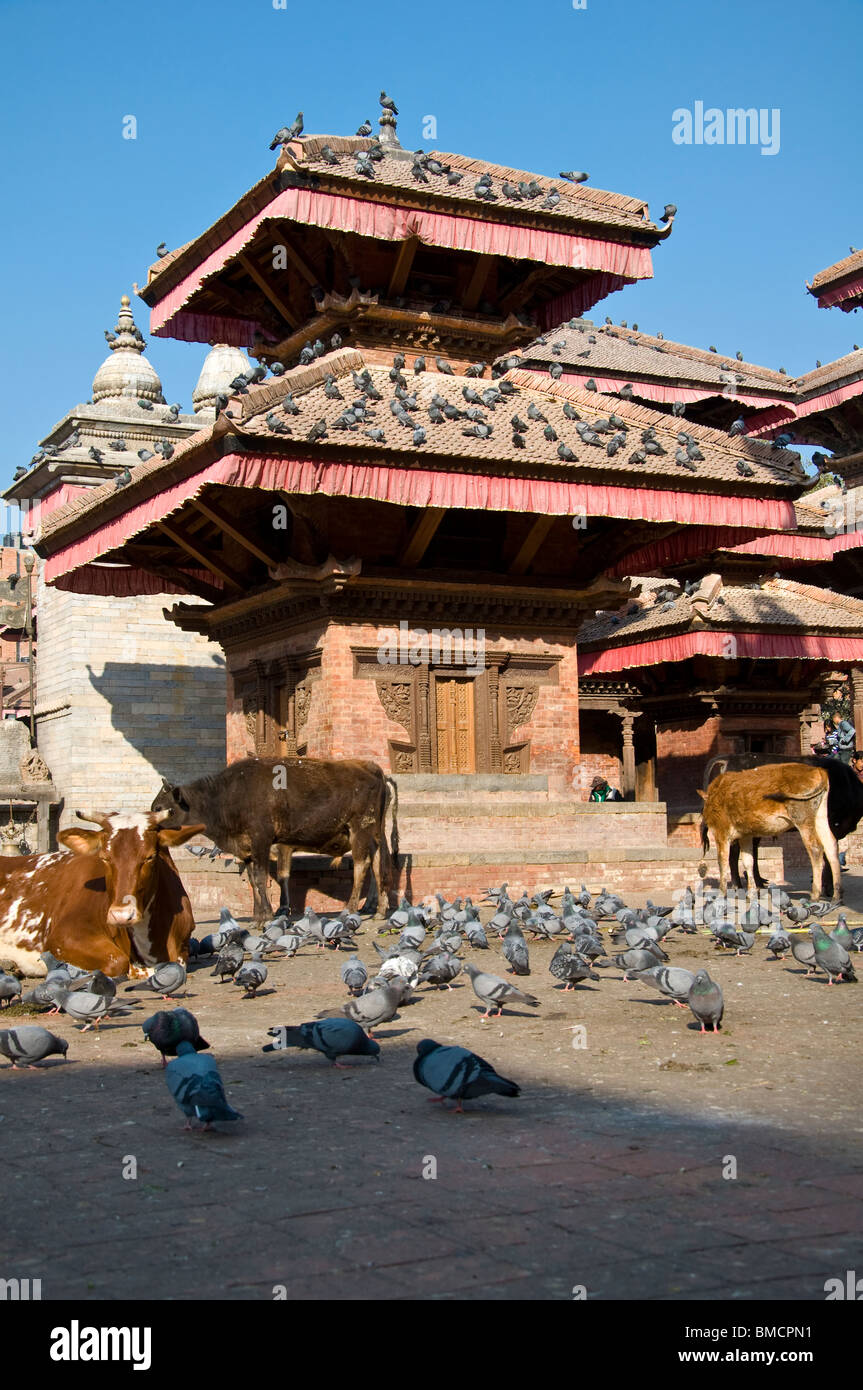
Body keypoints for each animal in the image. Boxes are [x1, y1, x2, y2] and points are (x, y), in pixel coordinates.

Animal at [700, 756, 861, 895]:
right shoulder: (834, 824)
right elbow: (828, 855)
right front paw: (829, 888)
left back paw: (756, 883)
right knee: (734, 854)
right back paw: (739, 885)